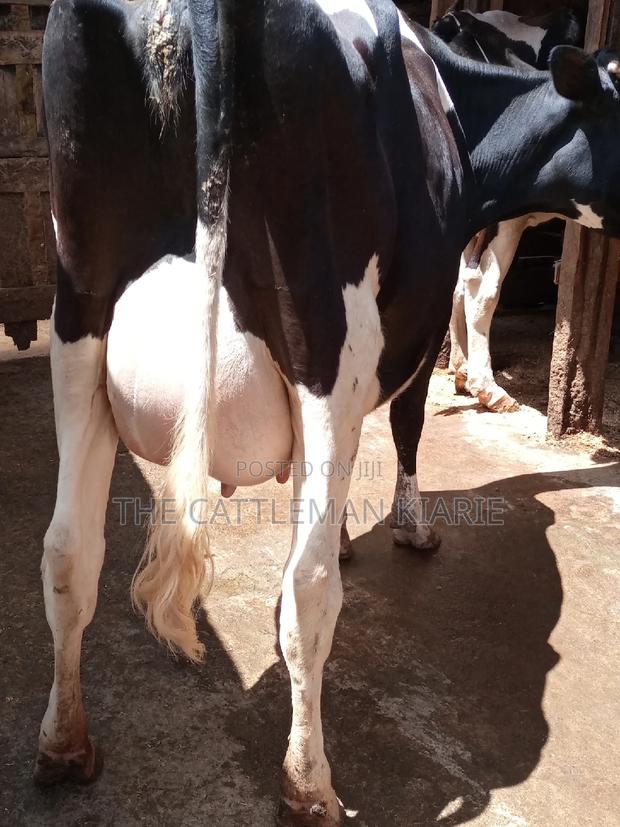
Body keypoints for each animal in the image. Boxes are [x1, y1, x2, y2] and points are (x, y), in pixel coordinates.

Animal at [37, 0, 620, 823]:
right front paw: (413, 527)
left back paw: (64, 744)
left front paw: (349, 530)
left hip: (78, 316)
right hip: (326, 340)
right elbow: (407, 423)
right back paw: (309, 783)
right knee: (306, 590)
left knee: (67, 551)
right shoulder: (409, 324)